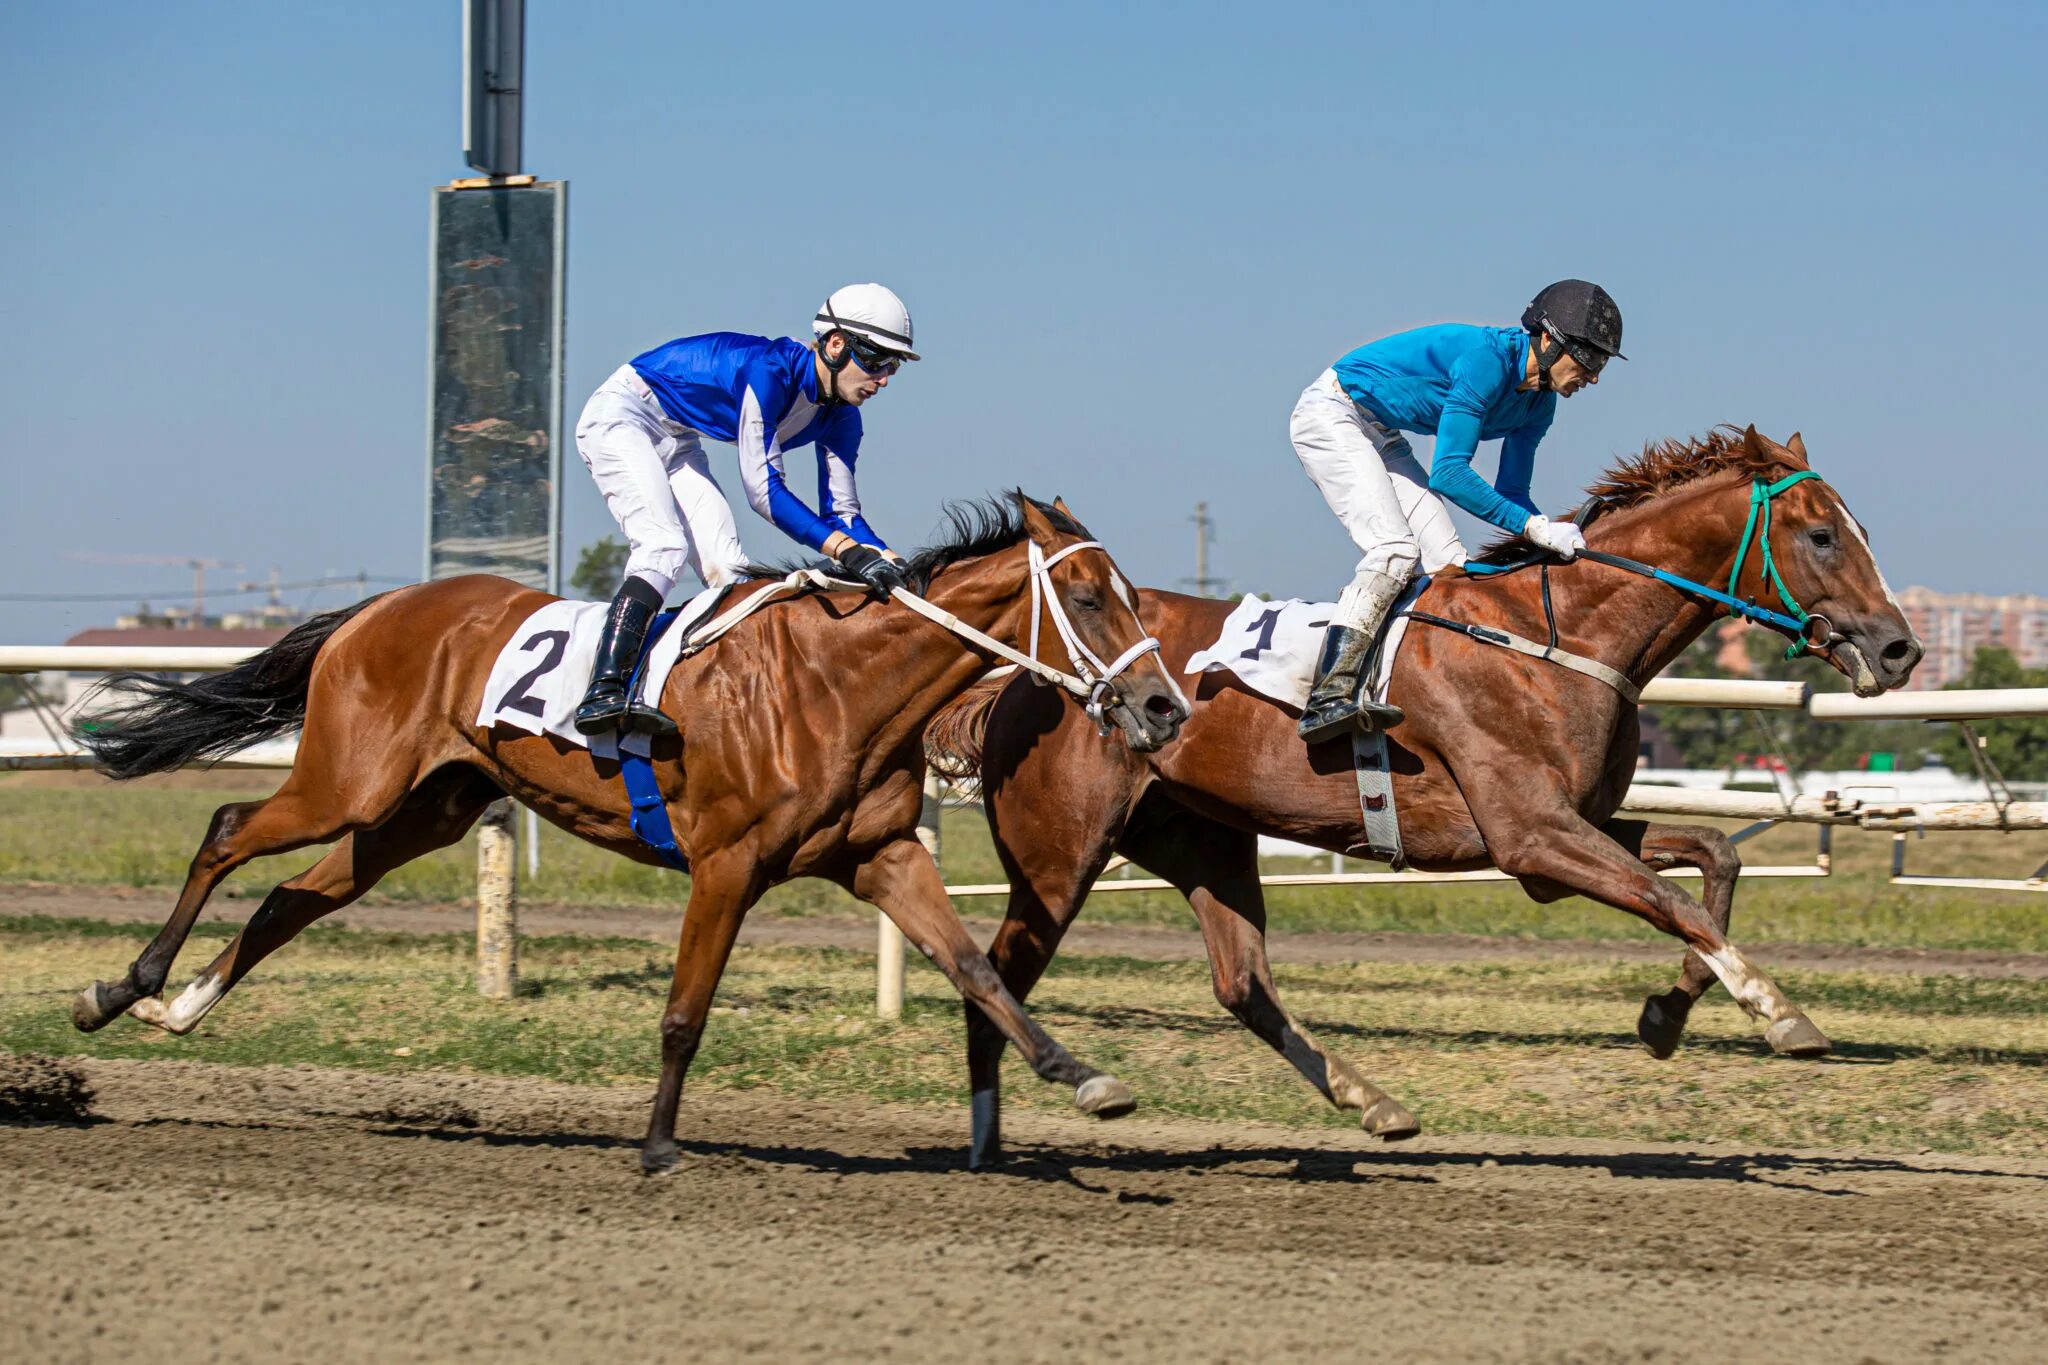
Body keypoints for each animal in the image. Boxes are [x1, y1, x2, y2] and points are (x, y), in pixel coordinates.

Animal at [79, 493, 1196, 1178]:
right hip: (347, 783)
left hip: (419, 811)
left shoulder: (881, 856)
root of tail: (380, 608)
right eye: (1088, 596)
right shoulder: (726, 864)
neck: (840, 682)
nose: (1163, 708)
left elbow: (978, 969)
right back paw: (123, 987)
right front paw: (659, 1145)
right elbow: (684, 1013)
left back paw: (181, 1008)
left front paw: (1085, 1080)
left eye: (1132, 595)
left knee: (291, 897)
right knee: (227, 830)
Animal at [937, 427, 1925, 1162]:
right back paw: (997, 1137)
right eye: (1822, 535)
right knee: (995, 972)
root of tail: (1018, 676)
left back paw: (1373, 1101)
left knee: (1242, 982)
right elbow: (1673, 898)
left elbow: (1713, 862)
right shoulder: (1532, 838)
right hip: (1060, 857)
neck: (1557, 636)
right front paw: (1781, 1014)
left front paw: (1665, 1015)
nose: (1901, 648)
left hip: (1201, 836)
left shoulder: (1573, 826)